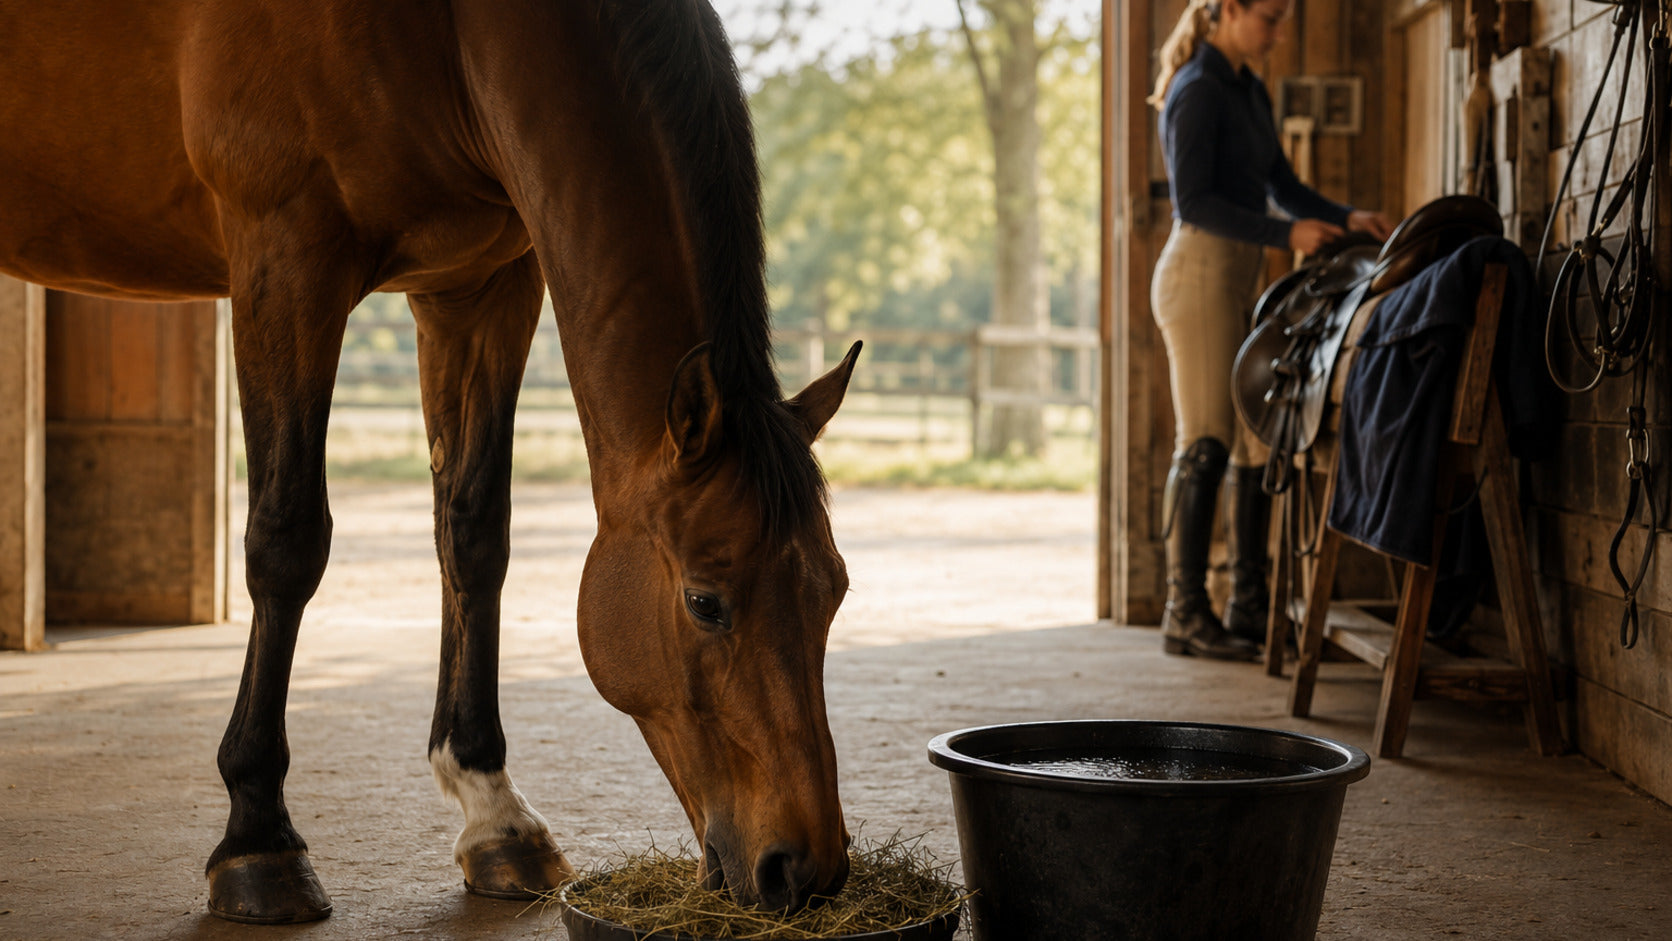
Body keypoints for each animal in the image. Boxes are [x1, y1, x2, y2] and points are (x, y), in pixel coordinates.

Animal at [0, 0, 859, 923]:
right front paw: (259, 838)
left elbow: (474, 535)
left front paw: (496, 813)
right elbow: (287, 542)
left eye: (834, 590)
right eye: (705, 601)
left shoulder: (479, 286)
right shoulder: (287, 262)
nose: (805, 867)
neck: (450, 34)